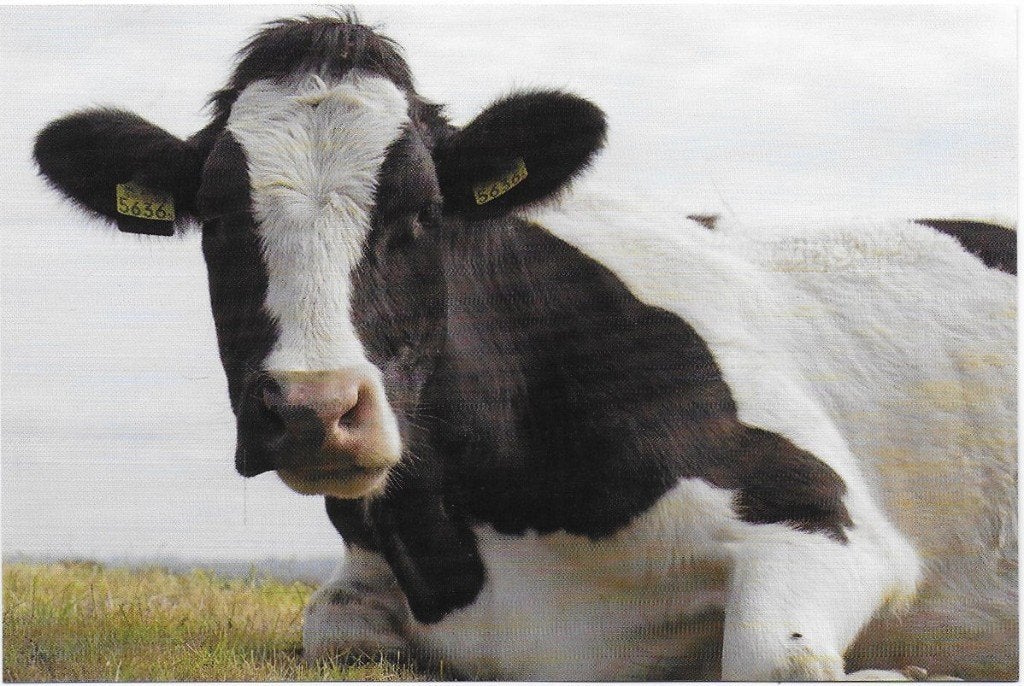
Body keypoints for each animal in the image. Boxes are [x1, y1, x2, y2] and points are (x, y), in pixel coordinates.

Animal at [33, 14, 1016, 681]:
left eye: (422, 213)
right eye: (220, 220)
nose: (315, 410)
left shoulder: (815, 506)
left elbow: (780, 657)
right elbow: (331, 627)